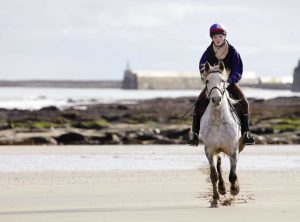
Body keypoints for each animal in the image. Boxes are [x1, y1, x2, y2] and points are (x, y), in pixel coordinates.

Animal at [199, 60, 244, 208]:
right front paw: (215, 199)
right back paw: (222, 188)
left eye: (223, 80)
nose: (216, 99)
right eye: (207, 80)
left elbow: (233, 174)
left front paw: (235, 189)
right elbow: (213, 175)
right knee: (219, 166)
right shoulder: (209, 150)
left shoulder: (233, 150)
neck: (218, 120)